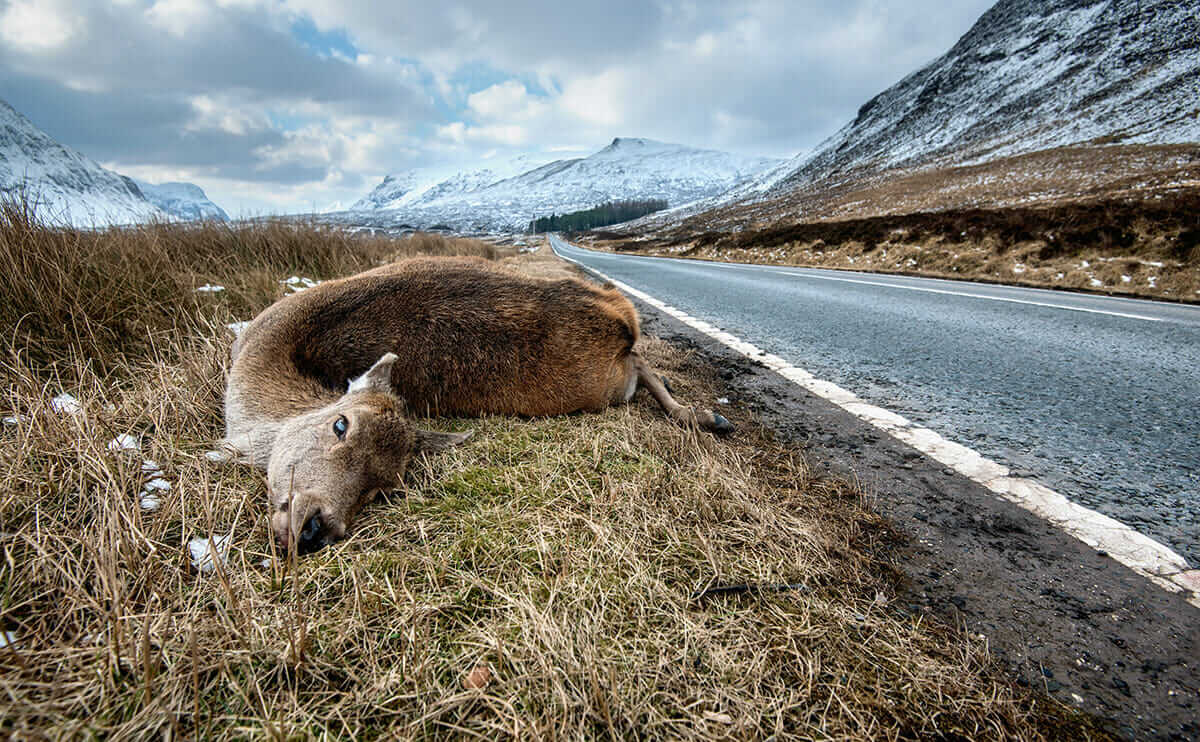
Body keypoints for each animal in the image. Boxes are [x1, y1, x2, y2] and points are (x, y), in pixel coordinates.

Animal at [221, 255, 733, 554]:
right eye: (339, 425)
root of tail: (622, 317)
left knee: (642, 363)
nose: (314, 527)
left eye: (384, 487)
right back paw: (703, 414)